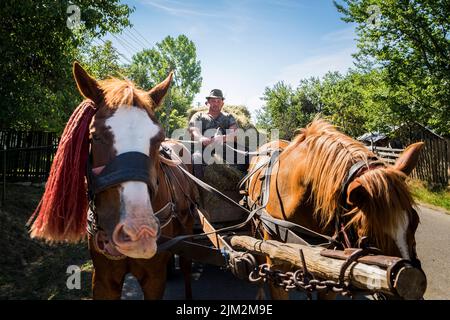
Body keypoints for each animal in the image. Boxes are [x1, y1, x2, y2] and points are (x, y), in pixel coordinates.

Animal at [28, 63, 197, 300]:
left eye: (158, 139)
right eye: (95, 136)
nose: (139, 232)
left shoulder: (155, 279)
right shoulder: (103, 280)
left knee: (187, 266)